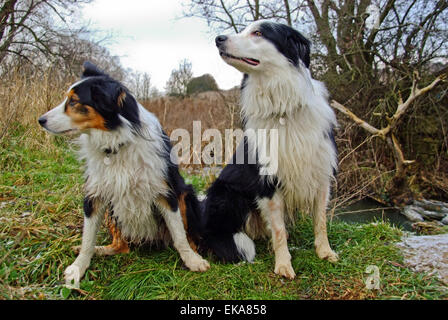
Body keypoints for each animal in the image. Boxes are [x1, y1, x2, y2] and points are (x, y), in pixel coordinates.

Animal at [38, 62, 210, 288]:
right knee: (121, 246)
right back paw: (99, 250)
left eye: (74, 101)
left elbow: (180, 234)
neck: (116, 144)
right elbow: (87, 238)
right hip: (112, 209)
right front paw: (78, 267)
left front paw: (192, 260)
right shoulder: (95, 194)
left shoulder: (166, 191)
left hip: (185, 195)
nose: (40, 120)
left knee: (187, 237)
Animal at [201, 20, 338, 280]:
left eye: (258, 33)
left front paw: (325, 252)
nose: (218, 39)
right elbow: (278, 229)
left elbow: (321, 220)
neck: (282, 106)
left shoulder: (320, 173)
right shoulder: (267, 182)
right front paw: (283, 264)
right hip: (226, 194)